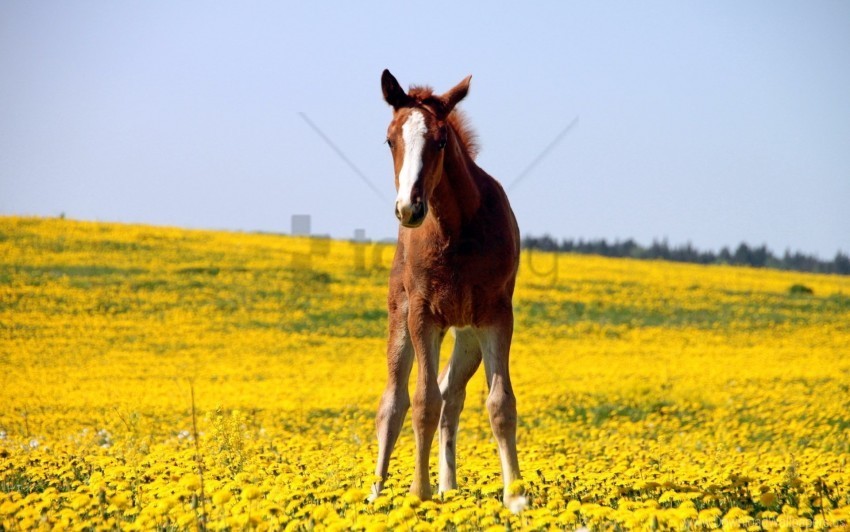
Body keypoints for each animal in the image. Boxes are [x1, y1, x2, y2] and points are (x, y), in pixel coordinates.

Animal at [372, 69, 524, 512]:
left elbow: (499, 403)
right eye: (390, 139)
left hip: (467, 338)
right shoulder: (424, 315)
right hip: (401, 319)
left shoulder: (495, 316)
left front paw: (516, 497)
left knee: (450, 395)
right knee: (393, 401)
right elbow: (422, 401)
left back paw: (449, 488)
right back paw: (375, 493)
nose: (409, 208)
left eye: (440, 141)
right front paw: (417, 493)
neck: (457, 230)